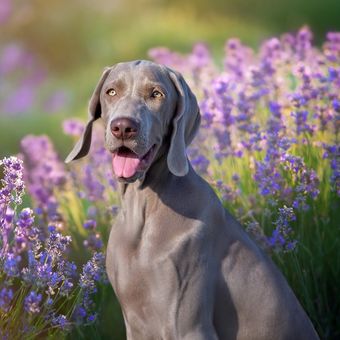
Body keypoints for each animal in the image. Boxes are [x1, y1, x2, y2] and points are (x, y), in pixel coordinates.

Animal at [65, 59, 318, 338]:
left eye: (156, 94)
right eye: (111, 92)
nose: (123, 127)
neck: (142, 210)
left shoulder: (188, 324)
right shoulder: (134, 324)